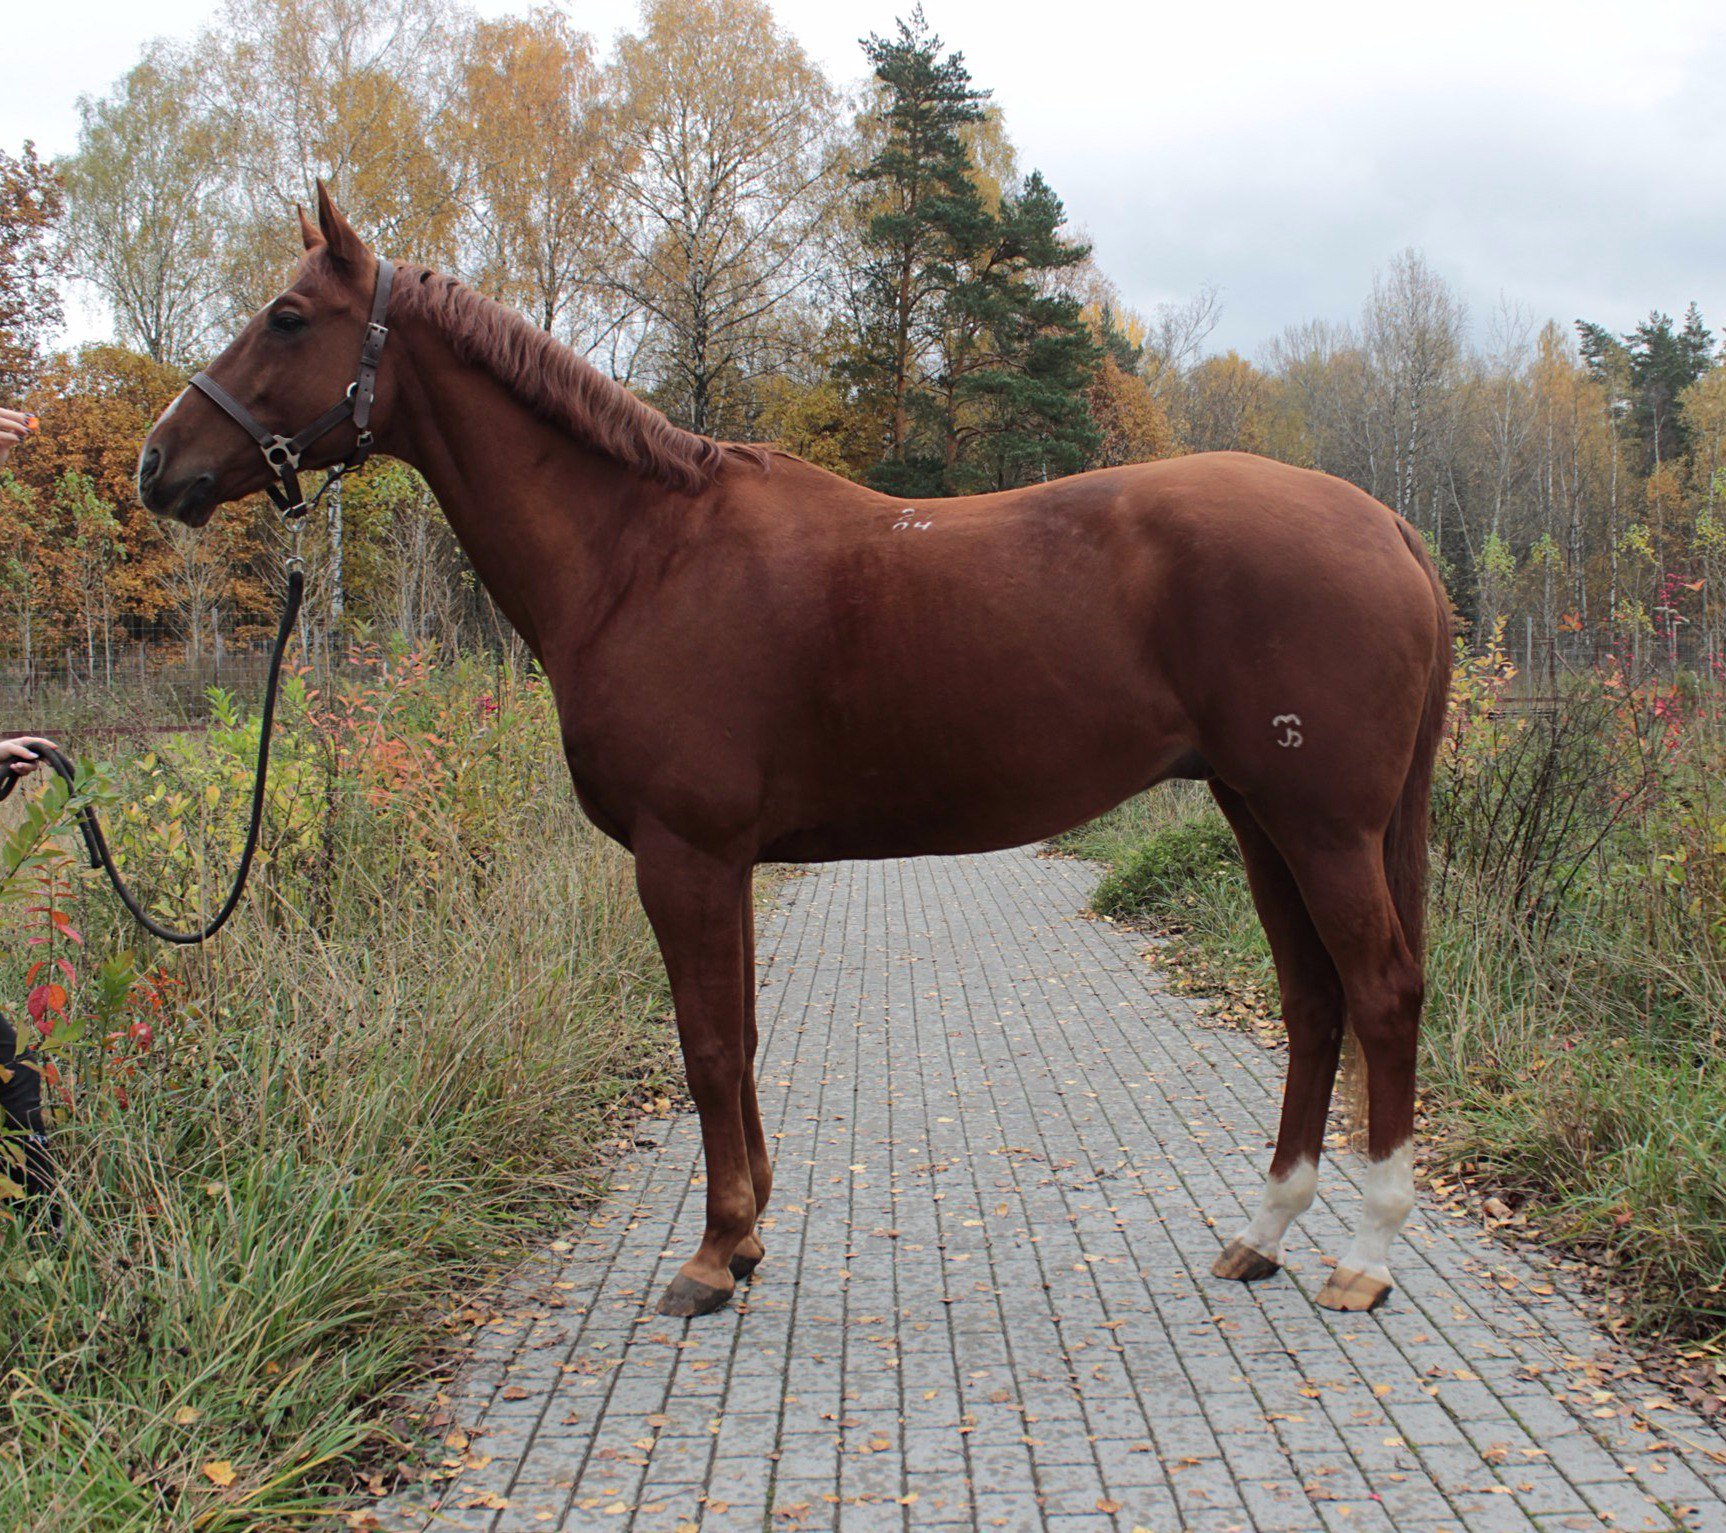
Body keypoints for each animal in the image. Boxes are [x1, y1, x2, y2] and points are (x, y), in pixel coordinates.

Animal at [141, 191, 1449, 1318]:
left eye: (287, 316)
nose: (162, 465)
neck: (641, 558)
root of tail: (1384, 521)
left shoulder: (683, 855)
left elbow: (710, 1047)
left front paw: (712, 1253)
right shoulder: (724, 862)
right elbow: (741, 1040)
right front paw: (749, 1235)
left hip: (1319, 823)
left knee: (1381, 993)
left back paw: (1366, 1256)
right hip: (1255, 813)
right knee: (1312, 1002)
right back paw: (1263, 1234)